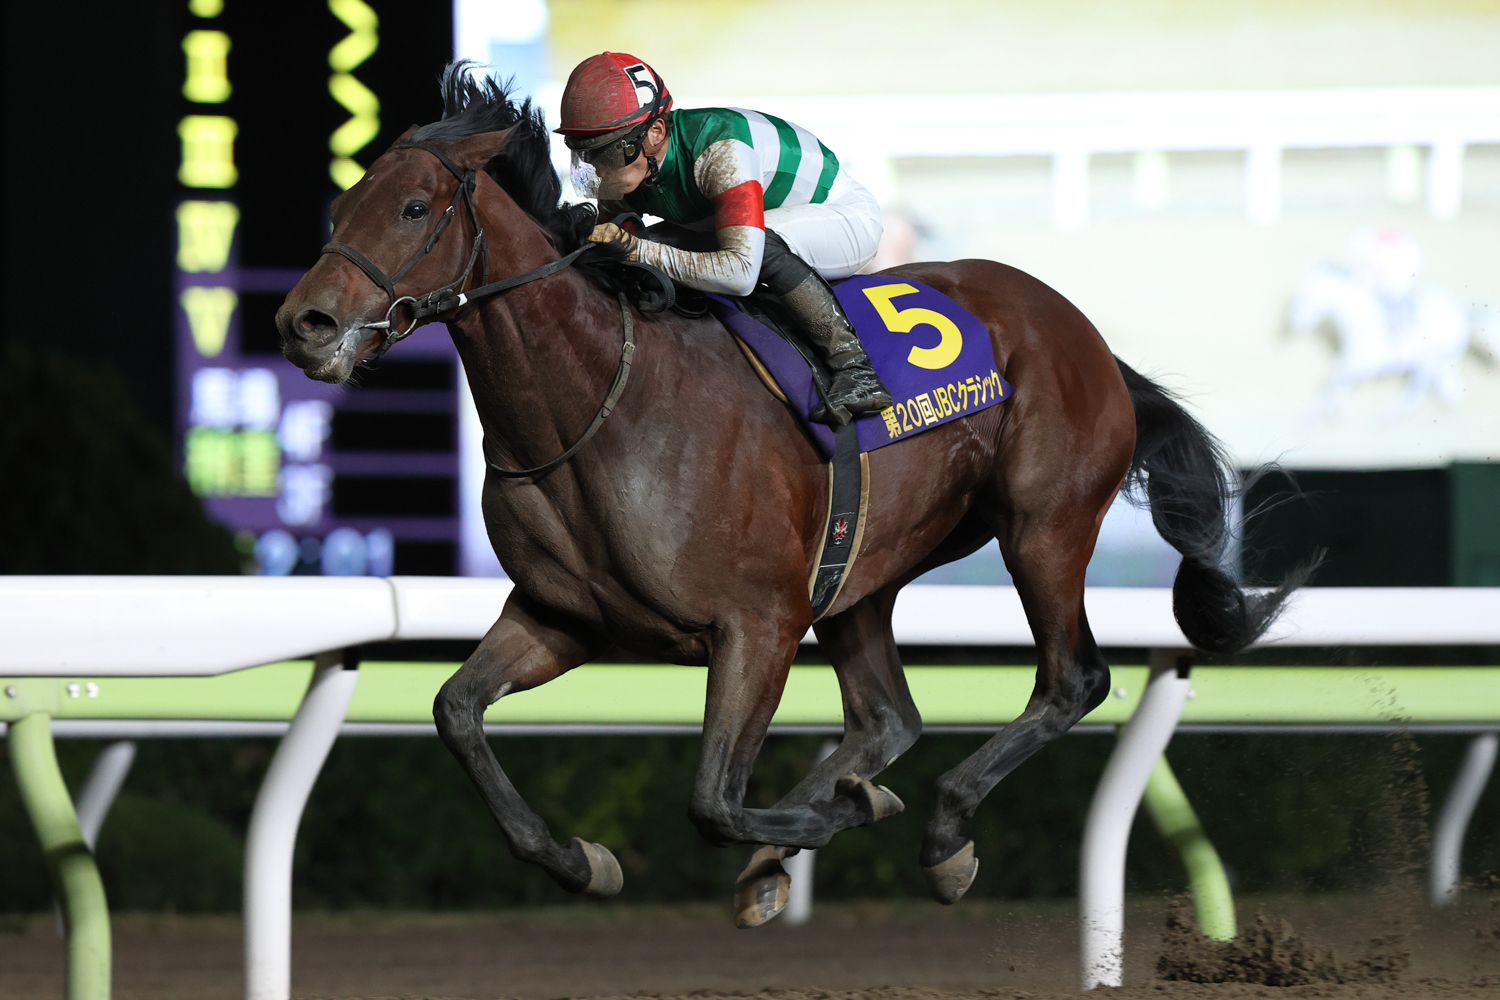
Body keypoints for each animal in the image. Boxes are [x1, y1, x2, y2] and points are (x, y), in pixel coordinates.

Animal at [277, 67, 1302, 926]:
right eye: (342, 204)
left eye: (414, 207)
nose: (304, 324)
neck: (597, 403)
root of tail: (1081, 331)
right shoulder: (562, 615)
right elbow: (457, 713)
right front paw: (582, 861)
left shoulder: (757, 624)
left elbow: (713, 801)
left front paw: (833, 823)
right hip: (860, 570)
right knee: (889, 717)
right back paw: (821, 833)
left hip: (1041, 525)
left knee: (1069, 680)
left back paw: (937, 833)